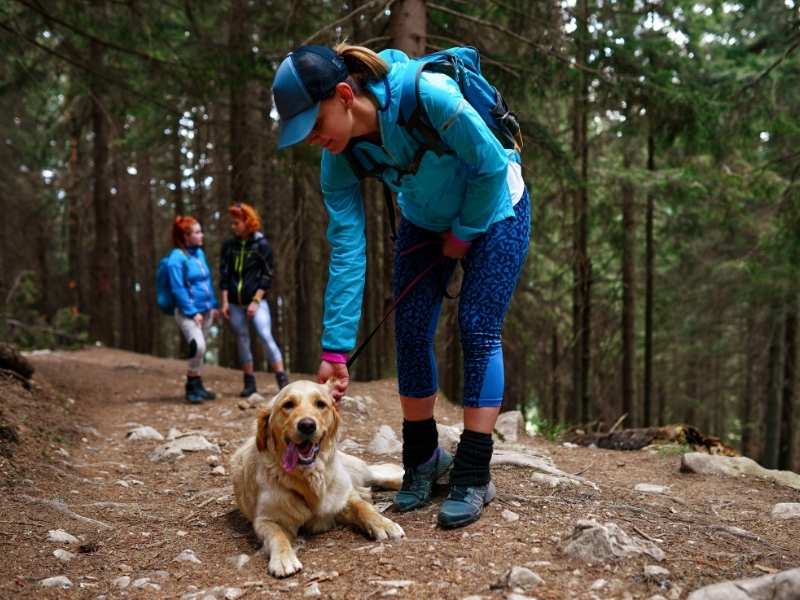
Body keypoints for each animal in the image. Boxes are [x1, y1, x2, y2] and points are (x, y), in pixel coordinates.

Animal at [231, 380, 406, 576]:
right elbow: (277, 535)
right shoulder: (265, 520)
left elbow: (364, 508)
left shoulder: (342, 498)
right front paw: (283, 558)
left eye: (320, 404)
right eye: (288, 405)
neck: (309, 478)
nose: (307, 425)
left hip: (355, 470)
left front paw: (384, 524)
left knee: (378, 475)